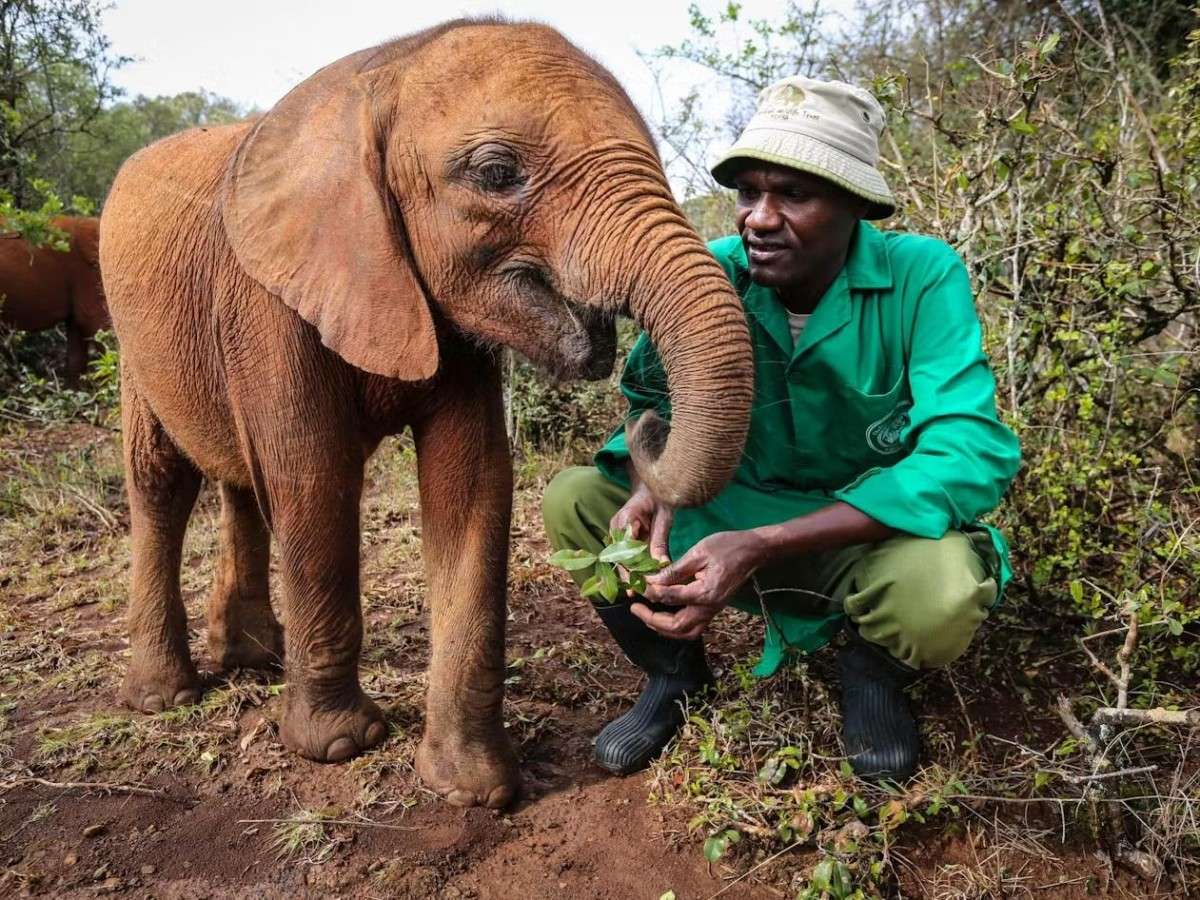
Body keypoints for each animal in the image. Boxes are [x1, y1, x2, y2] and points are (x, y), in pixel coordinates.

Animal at [98, 18, 754, 808]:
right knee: (163, 481)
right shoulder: (269, 300)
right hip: (131, 338)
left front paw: (471, 789)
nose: (648, 423)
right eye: (497, 174)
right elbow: (314, 480)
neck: (384, 67)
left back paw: (254, 658)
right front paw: (341, 746)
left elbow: (470, 482)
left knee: (239, 480)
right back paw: (166, 695)